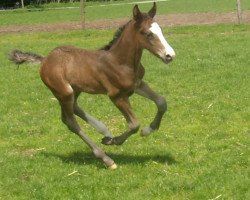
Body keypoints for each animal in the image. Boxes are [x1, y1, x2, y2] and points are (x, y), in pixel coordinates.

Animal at [8, 3, 175, 169]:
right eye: (147, 34)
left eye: (160, 30)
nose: (170, 55)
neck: (120, 62)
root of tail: (44, 60)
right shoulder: (116, 95)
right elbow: (134, 124)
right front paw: (115, 141)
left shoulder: (137, 85)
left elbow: (162, 102)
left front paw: (148, 130)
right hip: (64, 92)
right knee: (70, 122)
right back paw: (106, 158)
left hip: (75, 89)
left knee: (74, 108)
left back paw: (104, 131)